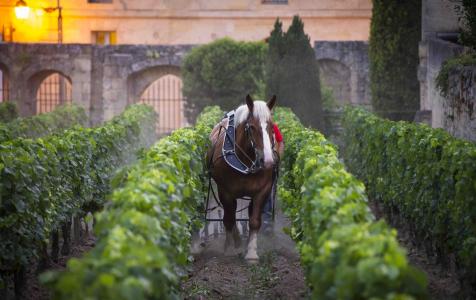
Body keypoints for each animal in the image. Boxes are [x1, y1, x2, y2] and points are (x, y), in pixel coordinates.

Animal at [206, 95, 278, 262]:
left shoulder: (262, 191)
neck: (245, 164)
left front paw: (251, 253)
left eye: (271, 126)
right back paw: (236, 241)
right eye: (251, 127)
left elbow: (255, 221)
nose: (267, 161)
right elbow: (228, 219)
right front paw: (229, 249)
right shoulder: (225, 191)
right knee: (230, 215)